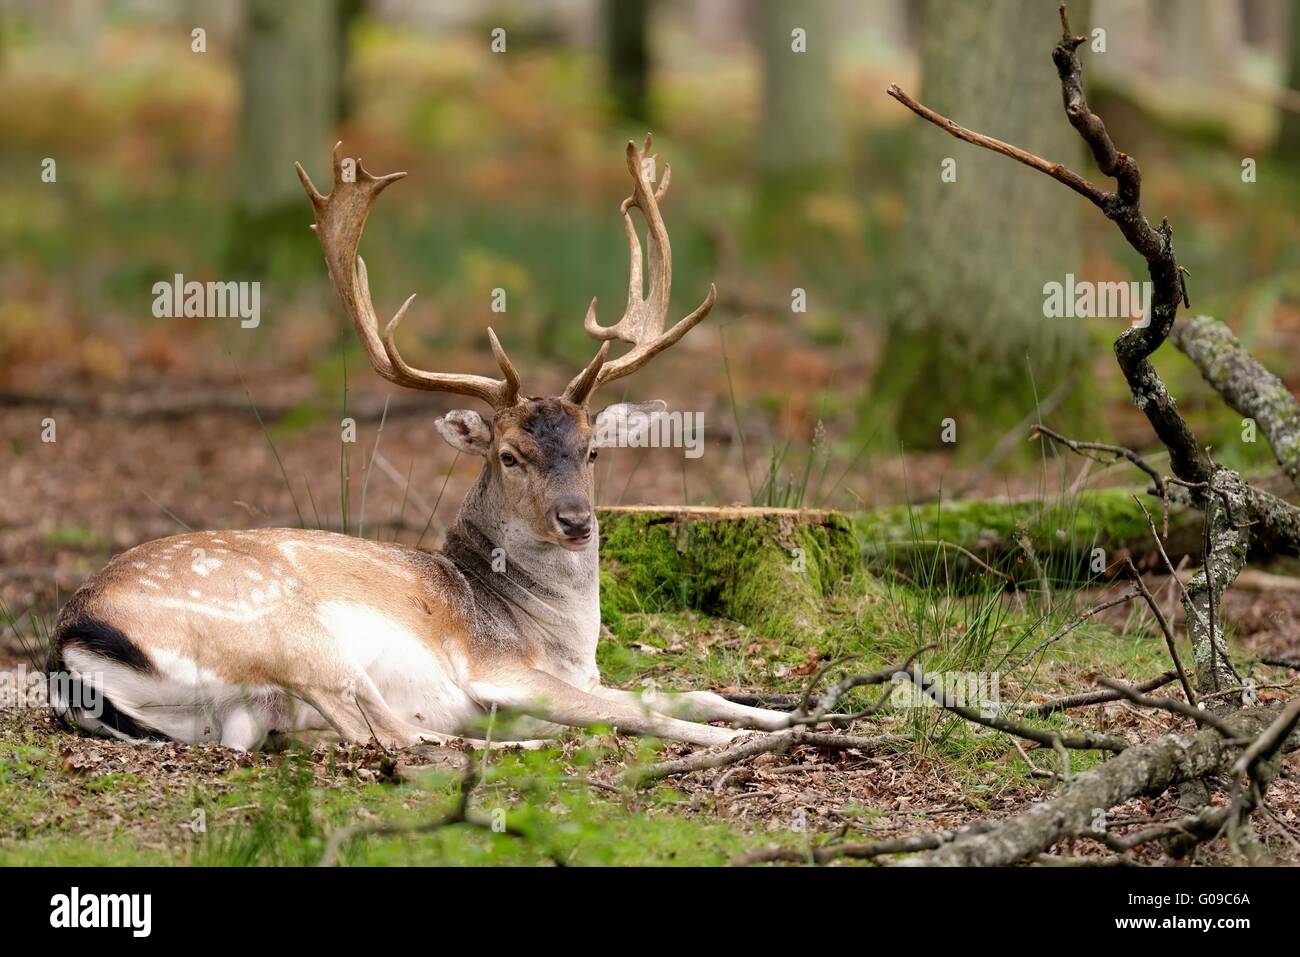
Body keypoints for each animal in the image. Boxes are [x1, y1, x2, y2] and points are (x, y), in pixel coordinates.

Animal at [50, 136, 790, 748]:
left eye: (593, 450)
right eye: (508, 455)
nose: (576, 520)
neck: (555, 639)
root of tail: (66, 643)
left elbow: (690, 691)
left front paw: (787, 713)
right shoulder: (501, 669)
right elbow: (640, 712)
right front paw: (742, 739)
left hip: (237, 710)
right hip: (290, 630)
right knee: (385, 733)